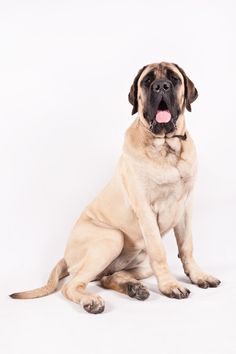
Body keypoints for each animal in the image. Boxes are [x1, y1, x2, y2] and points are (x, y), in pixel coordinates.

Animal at [10, 62, 220, 314]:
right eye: (147, 81)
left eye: (174, 79)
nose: (161, 86)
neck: (166, 147)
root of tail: (65, 255)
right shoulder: (146, 211)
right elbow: (160, 252)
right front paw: (170, 285)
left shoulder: (186, 207)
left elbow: (187, 246)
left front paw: (198, 276)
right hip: (111, 238)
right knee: (72, 285)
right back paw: (92, 300)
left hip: (140, 262)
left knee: (107, 277)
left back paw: (133, 288)